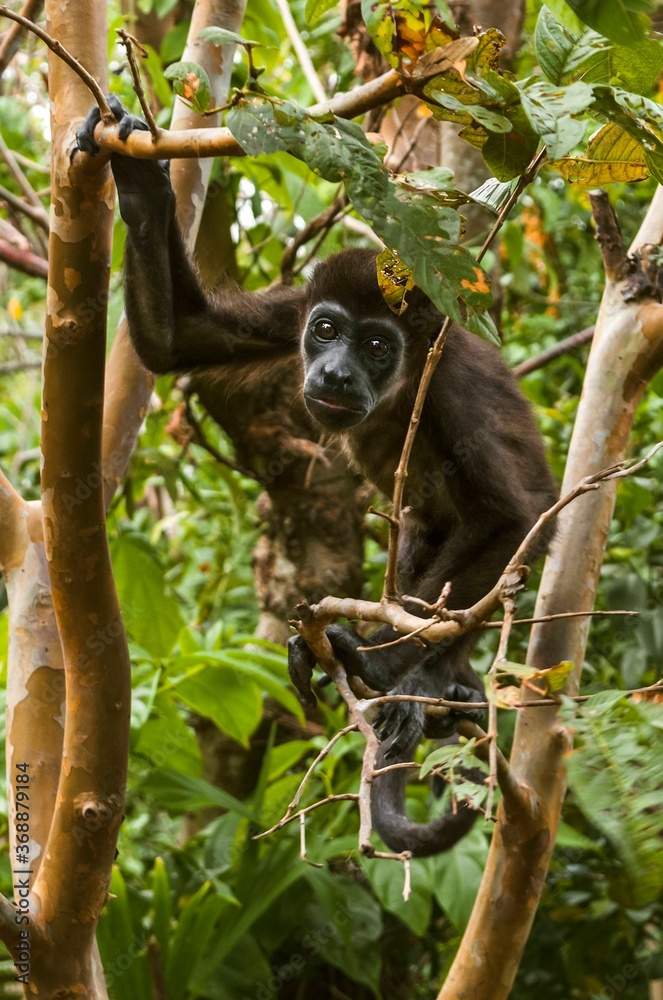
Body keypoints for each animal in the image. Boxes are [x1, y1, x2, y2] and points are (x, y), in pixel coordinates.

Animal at [76, 97, 557, 858]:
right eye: (327, 331)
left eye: (376, 345)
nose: (332, 374)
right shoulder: (293, 309)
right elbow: (179, 338)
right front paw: (141, 181)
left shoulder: (449, 388)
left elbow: (515, 514)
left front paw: (375, 664)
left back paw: (430, 685)